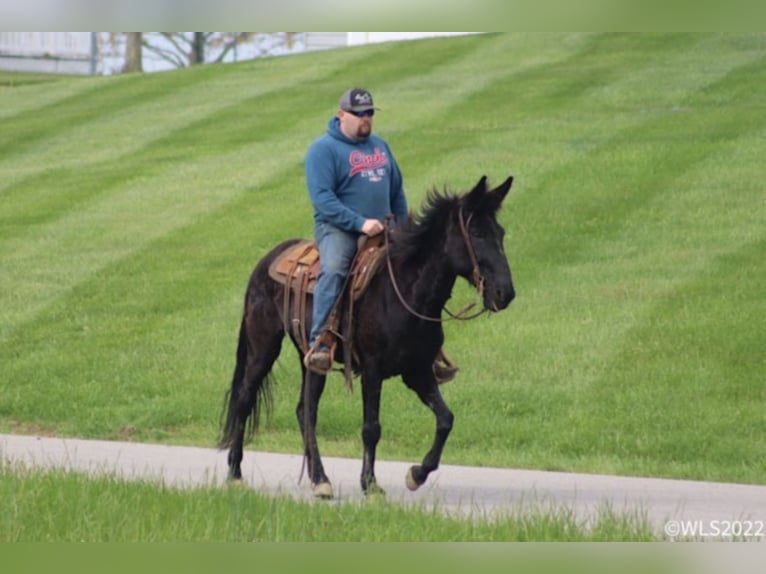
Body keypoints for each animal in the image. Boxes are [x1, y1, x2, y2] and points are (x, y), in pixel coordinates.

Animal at [219, 174, 516, 500]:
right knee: (245, 398)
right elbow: (371, 428)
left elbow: (445, 420)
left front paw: (417, 474)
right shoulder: (373, 370)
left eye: (500, 233)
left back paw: (318, 478)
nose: (505, 293)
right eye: (476, 233)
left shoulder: (418, 371)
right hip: (263, 346)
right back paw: (235, 473)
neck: (405, 291)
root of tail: (266, 260)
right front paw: (371, 484)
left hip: (310, 358)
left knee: (305, 410)